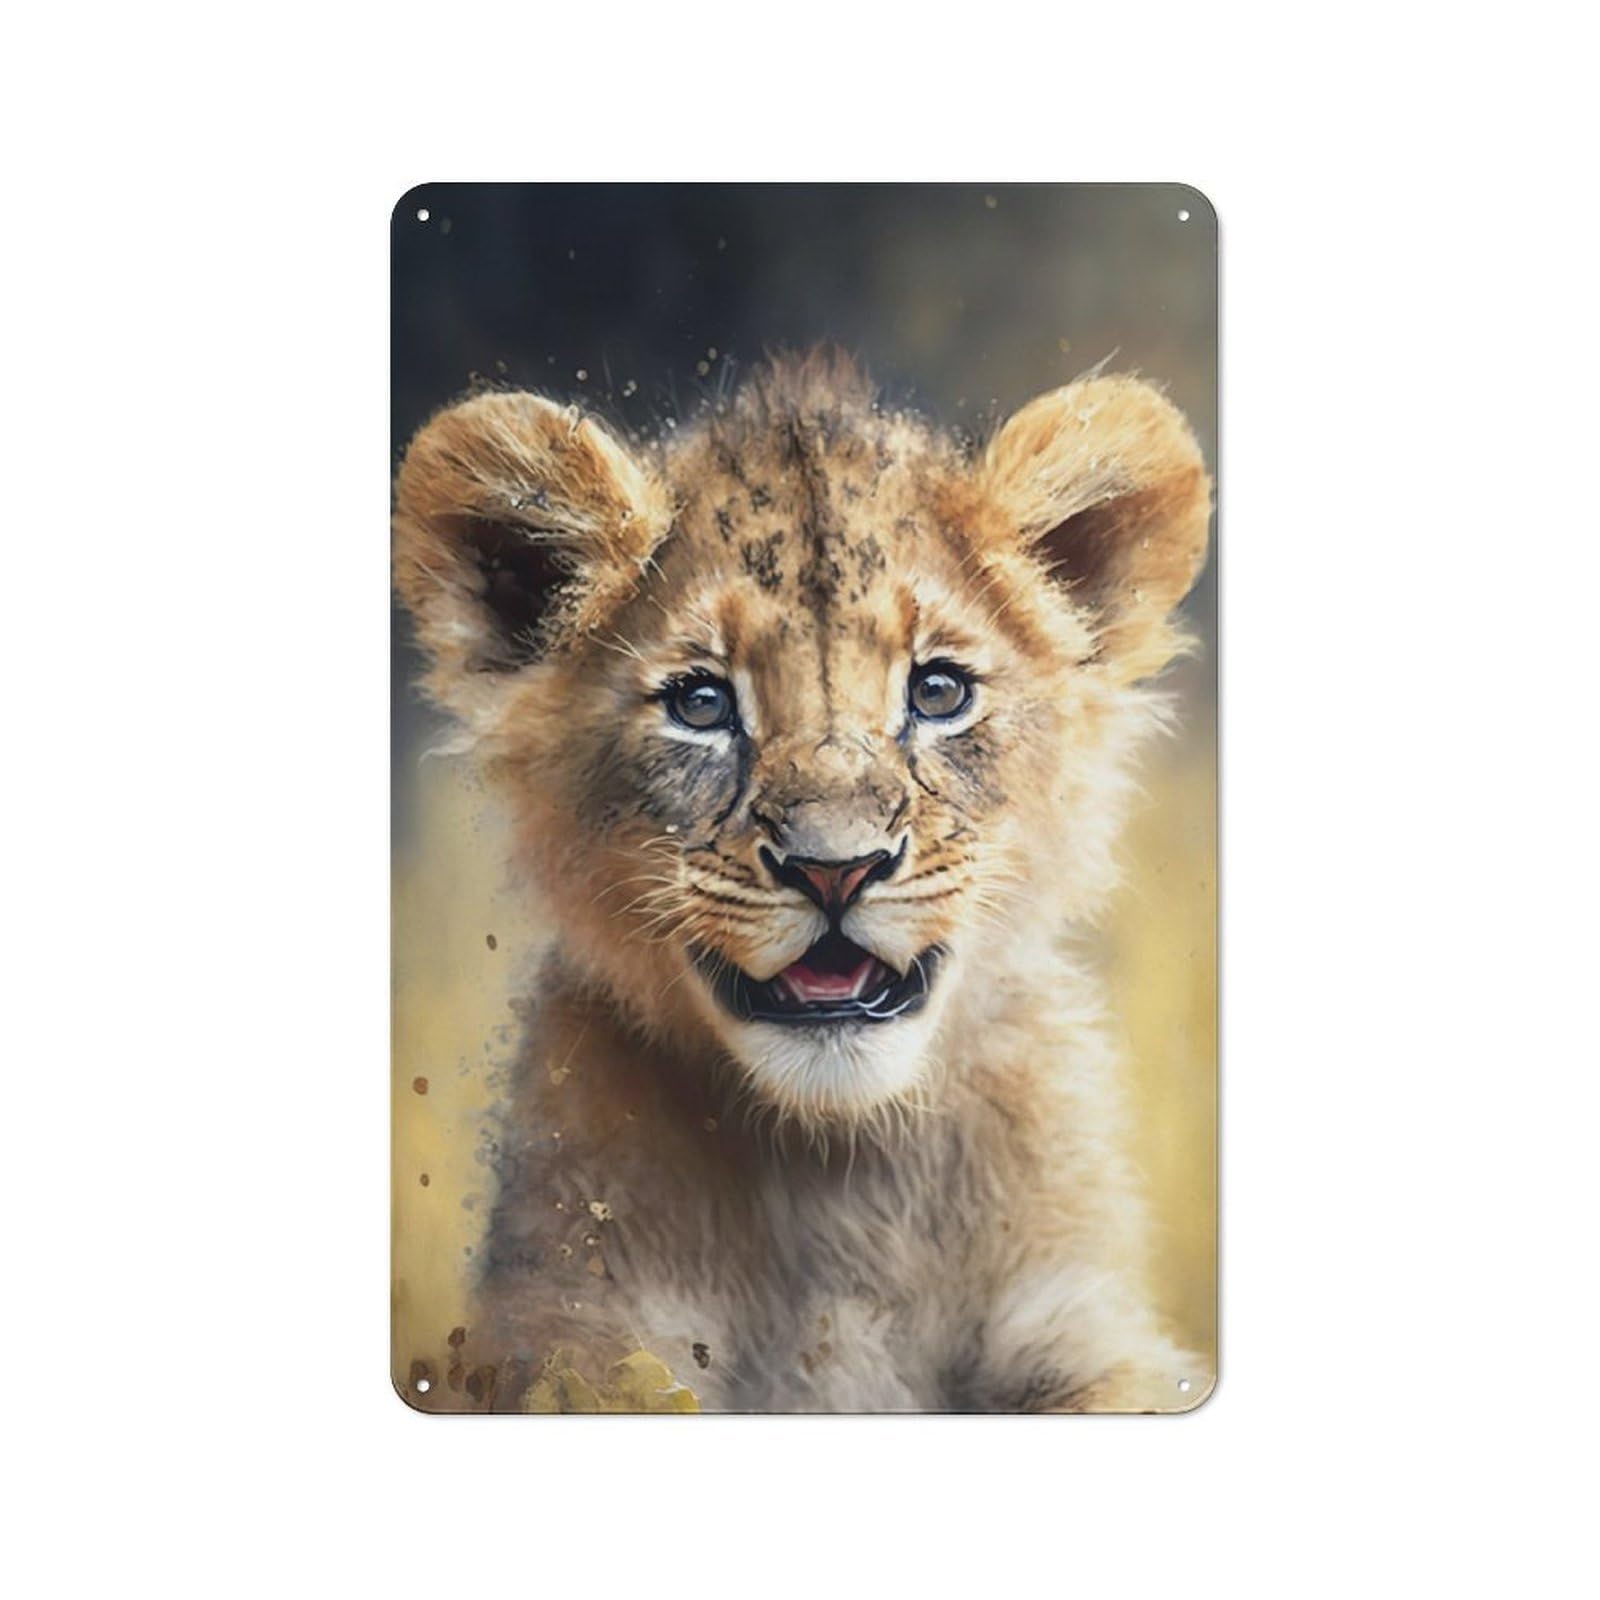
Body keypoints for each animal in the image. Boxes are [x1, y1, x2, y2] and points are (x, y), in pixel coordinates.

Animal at [393, 351, 1212, 1412]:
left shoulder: (1077, 1322)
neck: (839, 1170)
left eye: (938, 691)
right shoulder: (580, 1339)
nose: (836, 868)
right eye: (701, 703)